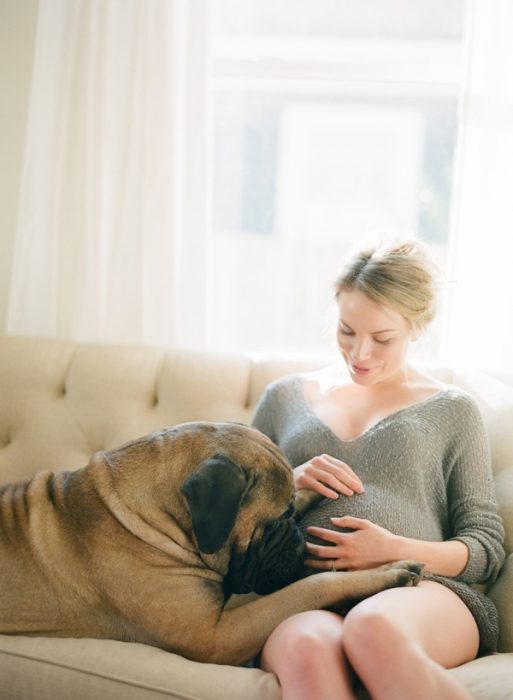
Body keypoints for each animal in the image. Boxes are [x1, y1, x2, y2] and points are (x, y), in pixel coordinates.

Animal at [0, 418, 422, 664]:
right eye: (276, 521)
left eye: (290, 513)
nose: (298, 541)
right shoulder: (215, 637)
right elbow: (310, 588)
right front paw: (388, 571)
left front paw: (318, 483)